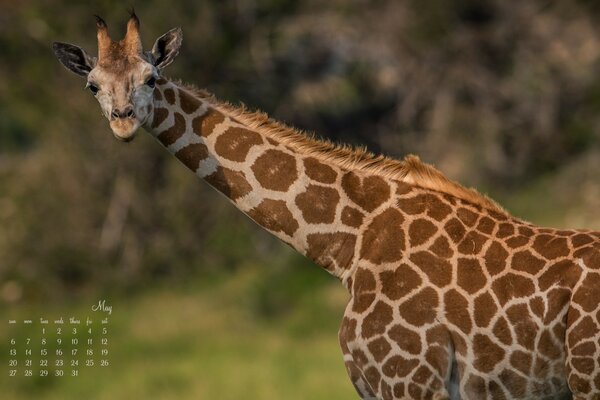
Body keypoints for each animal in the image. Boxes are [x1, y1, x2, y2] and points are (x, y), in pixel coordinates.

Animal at [52, 13, 600, 400]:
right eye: (93, 85)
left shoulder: (410, 381)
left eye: (150, 77)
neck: (348, 243)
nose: (123, 121)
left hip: (587, 378)